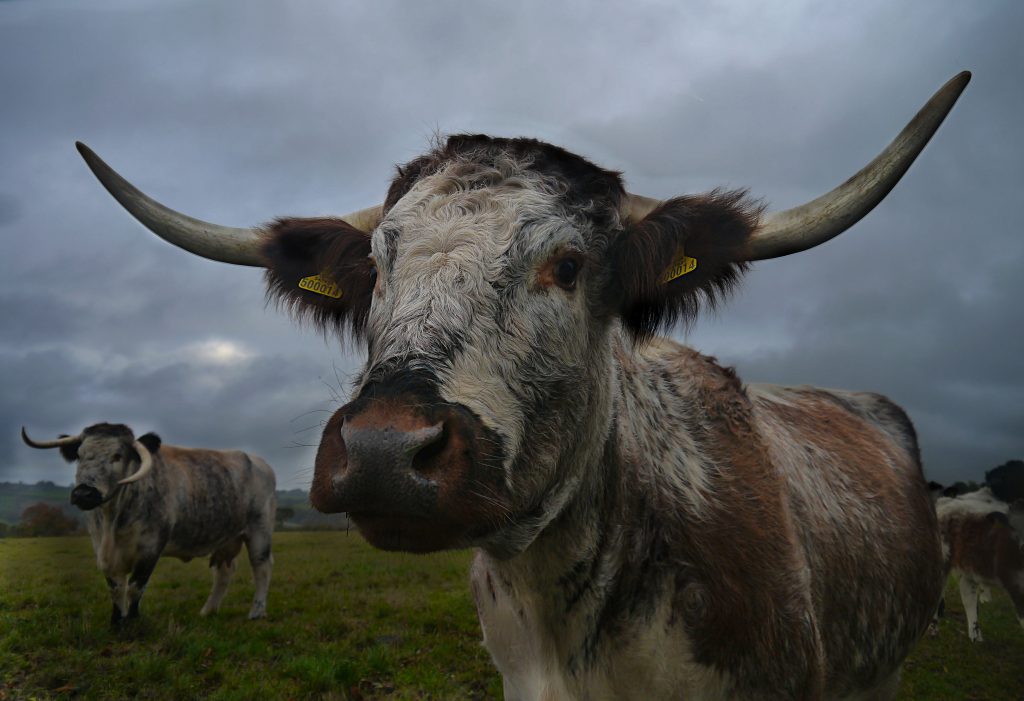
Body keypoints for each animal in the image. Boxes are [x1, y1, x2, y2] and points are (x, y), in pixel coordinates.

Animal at [21, 421, 276, 622]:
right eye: (80, 456)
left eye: (117, 456)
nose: (84, 493)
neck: (112, 520)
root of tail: (258, 461)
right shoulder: (102, 549)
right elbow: (116, 588)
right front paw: (116, 622)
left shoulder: (150, 549)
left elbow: (135, 588)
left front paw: (133, 621)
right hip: (226, 538)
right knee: (224, 572)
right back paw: (208, 611)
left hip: (260, 531)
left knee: (262, 567)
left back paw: (257, 612)